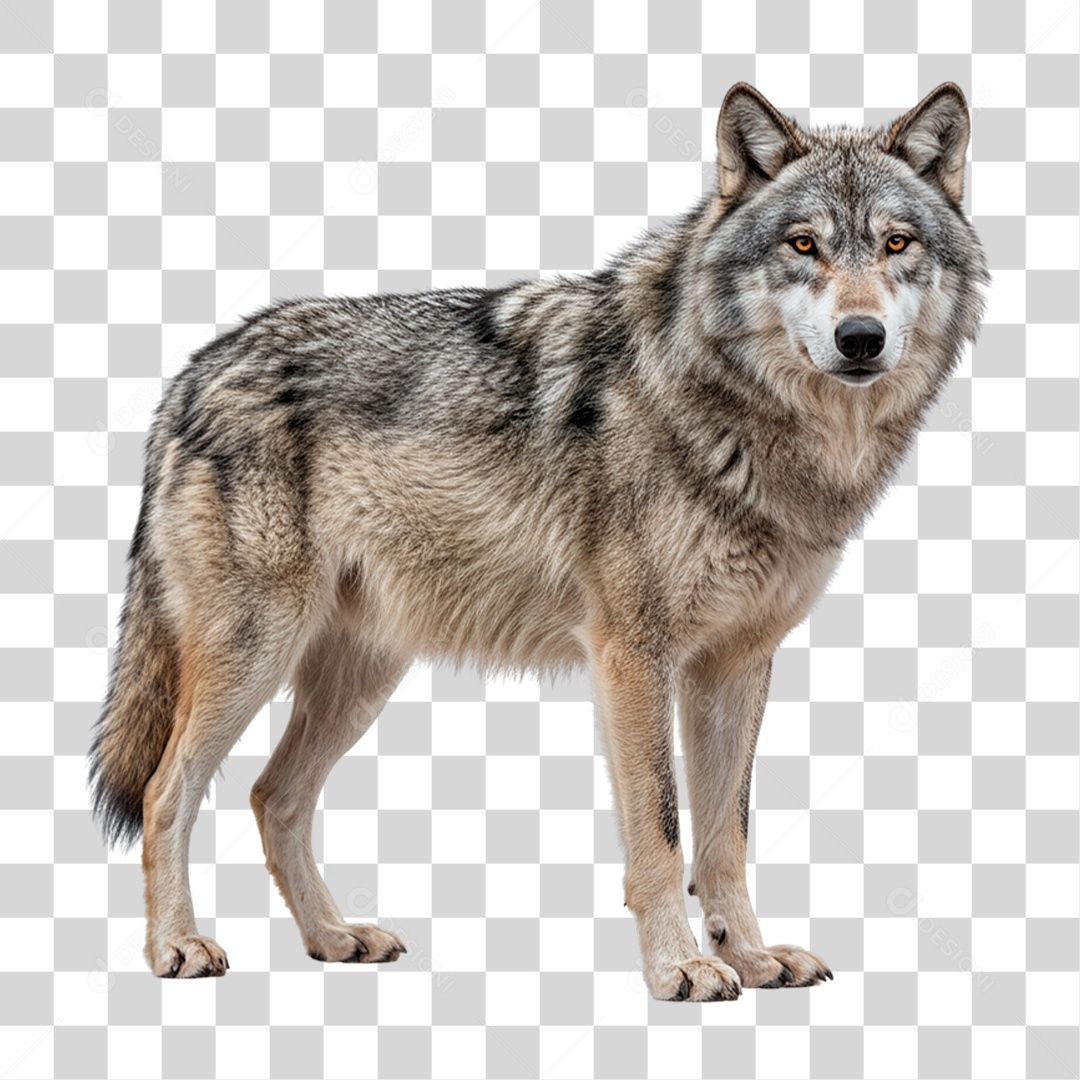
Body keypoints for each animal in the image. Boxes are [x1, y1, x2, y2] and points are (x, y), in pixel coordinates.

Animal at [90, 82, 987, 1000]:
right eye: (804, 244)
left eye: (897, 243)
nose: (861, 339)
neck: (739, 417)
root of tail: (191, 373)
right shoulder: (632, 655)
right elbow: (662, 830)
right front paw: (680, 969)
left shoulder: (735, 664)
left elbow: (725, 836)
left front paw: (749, 955)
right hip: (255, 655)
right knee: (166, 793)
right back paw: (178, 948)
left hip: (361, 676)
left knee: (274, 797)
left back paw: (333, 938)